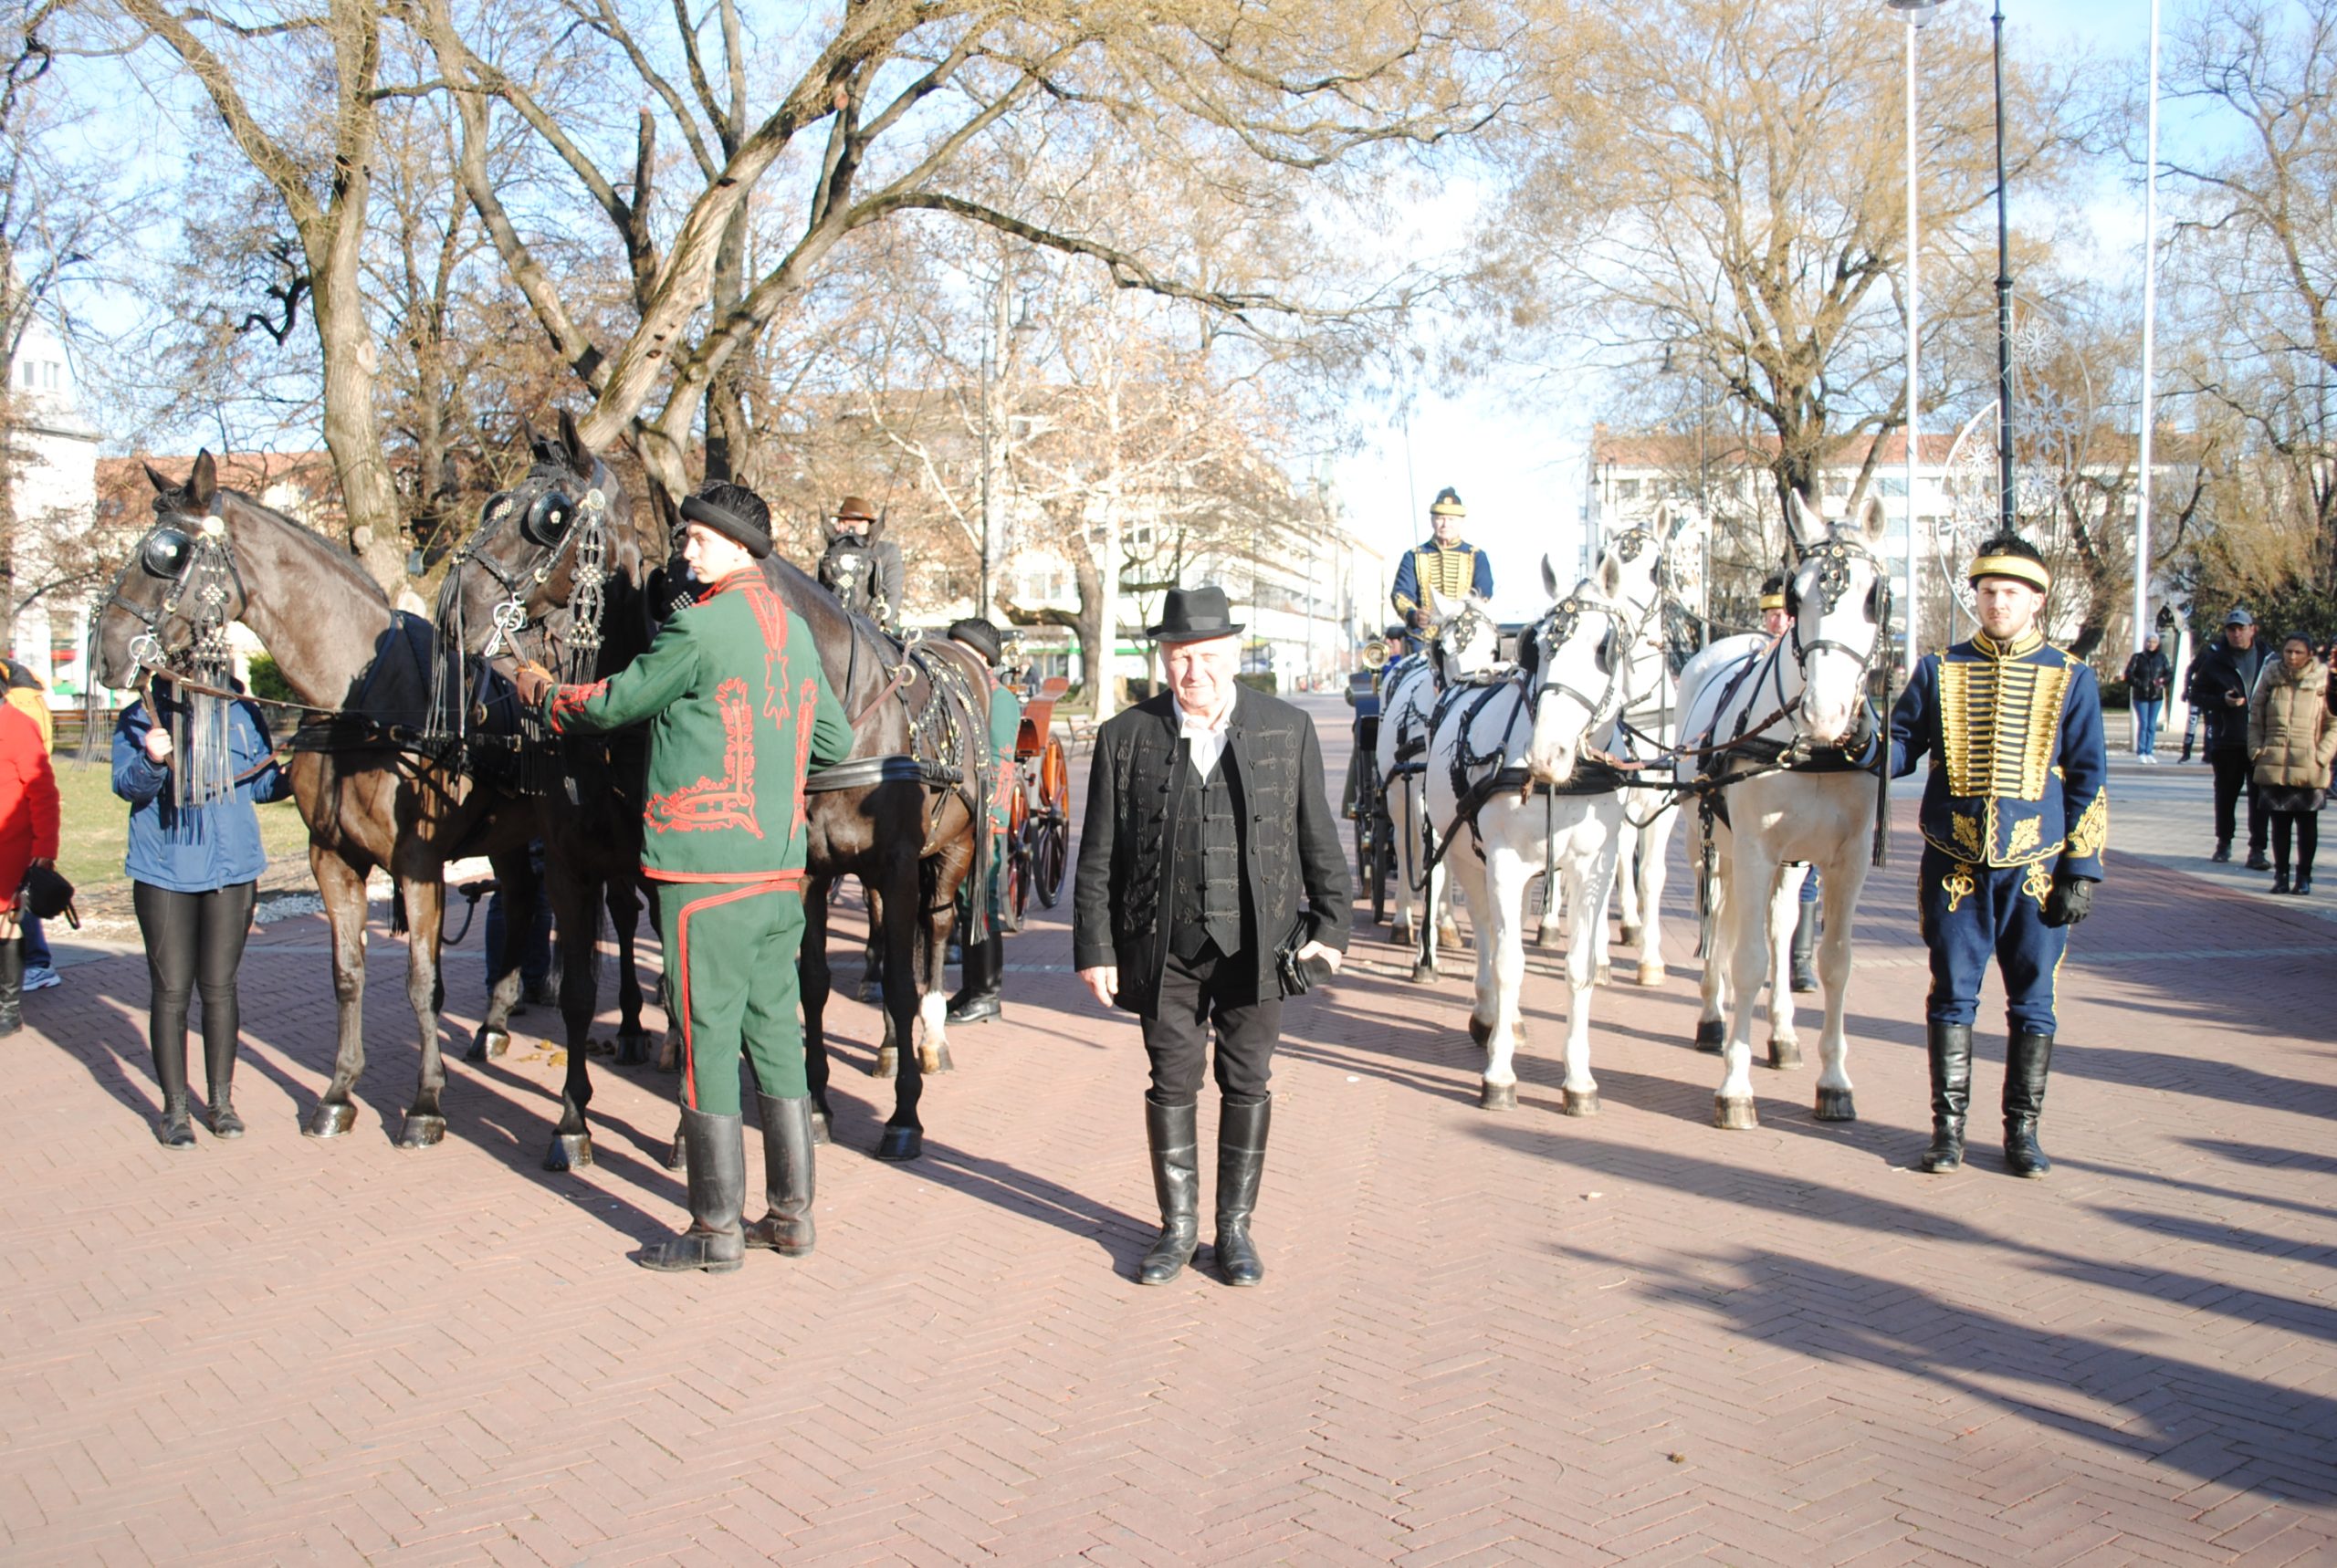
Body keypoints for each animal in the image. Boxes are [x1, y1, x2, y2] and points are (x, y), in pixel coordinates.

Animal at [93, 448, 535, 1145]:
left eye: (167, 553)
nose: (106, 650)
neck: (369, 702)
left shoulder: (418, 866)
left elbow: (421, 981)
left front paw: (426, 1104)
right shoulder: (332, 858)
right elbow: (347, 974)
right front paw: (338, 1092)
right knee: (518, 906)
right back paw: (494, 1022)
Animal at [1374, 589, 1504, 981]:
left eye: (1494, 648)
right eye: (1444, 649)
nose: (1473, 688)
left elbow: (1443, 863)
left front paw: (1437, 935)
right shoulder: (1417, 798)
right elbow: (1426, 857)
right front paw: (1423, 955)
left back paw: (1447, 924)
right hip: (1397, 799)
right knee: (1406, 847)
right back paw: (1403, 920)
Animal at [1420, 539, 1663, 1116]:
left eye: (1605, 648)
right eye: (1539, 648)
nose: (1546, 755)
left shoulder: (1592, 866)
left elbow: (1578, 965)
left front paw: (1579, 1080)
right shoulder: (1502, 861)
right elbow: (1509, 961)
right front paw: (1499, 1076)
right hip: (1467, 855)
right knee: (1489, 933)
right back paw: (1490, 1018)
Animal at [1672, 490, 1888, 1131]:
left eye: (1874, 596)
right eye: (1799, 596)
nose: (1825, 712)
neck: (1813, 750)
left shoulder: (1845, 862)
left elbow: (1834, 962)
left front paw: (1833, 1081)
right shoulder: (1752, 850)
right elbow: (1745, 961)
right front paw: (1735, 1088)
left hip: (1793, 863)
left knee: (1780, 924)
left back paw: (1784, 1035)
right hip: (1709, 846)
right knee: (1719, 916)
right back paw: (1714, 1020)